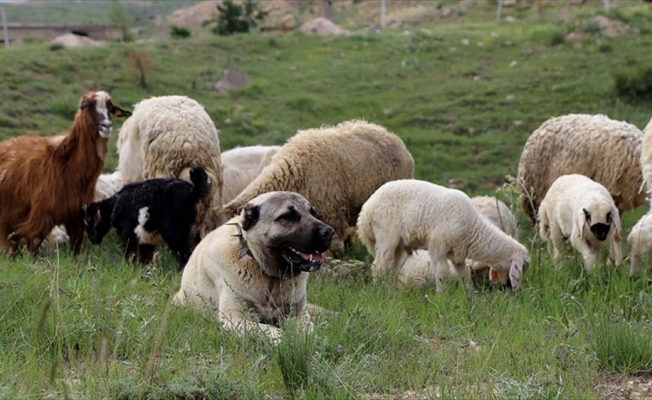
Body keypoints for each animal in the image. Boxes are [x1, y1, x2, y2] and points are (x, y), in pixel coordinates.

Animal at [0, 90, 131, 253]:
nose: (106, 126)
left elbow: (76, 249)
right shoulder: (40, 217)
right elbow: (33, 247)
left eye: (111, 109)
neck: (66, 166)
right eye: (86, 107)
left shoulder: (77, 219)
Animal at [356, 180, 528, 290]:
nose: (511, 289)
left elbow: (465, 276)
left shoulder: (457, 254)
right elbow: (442, 274)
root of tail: (366, 210)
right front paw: (441, 299)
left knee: (392, 268)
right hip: (386, 234)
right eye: (523, 267)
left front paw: (471, 300)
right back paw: (381, 292)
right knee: (379, 266)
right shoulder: (438, 247)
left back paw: (391, 291)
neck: (473, 228)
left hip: (399, 244)